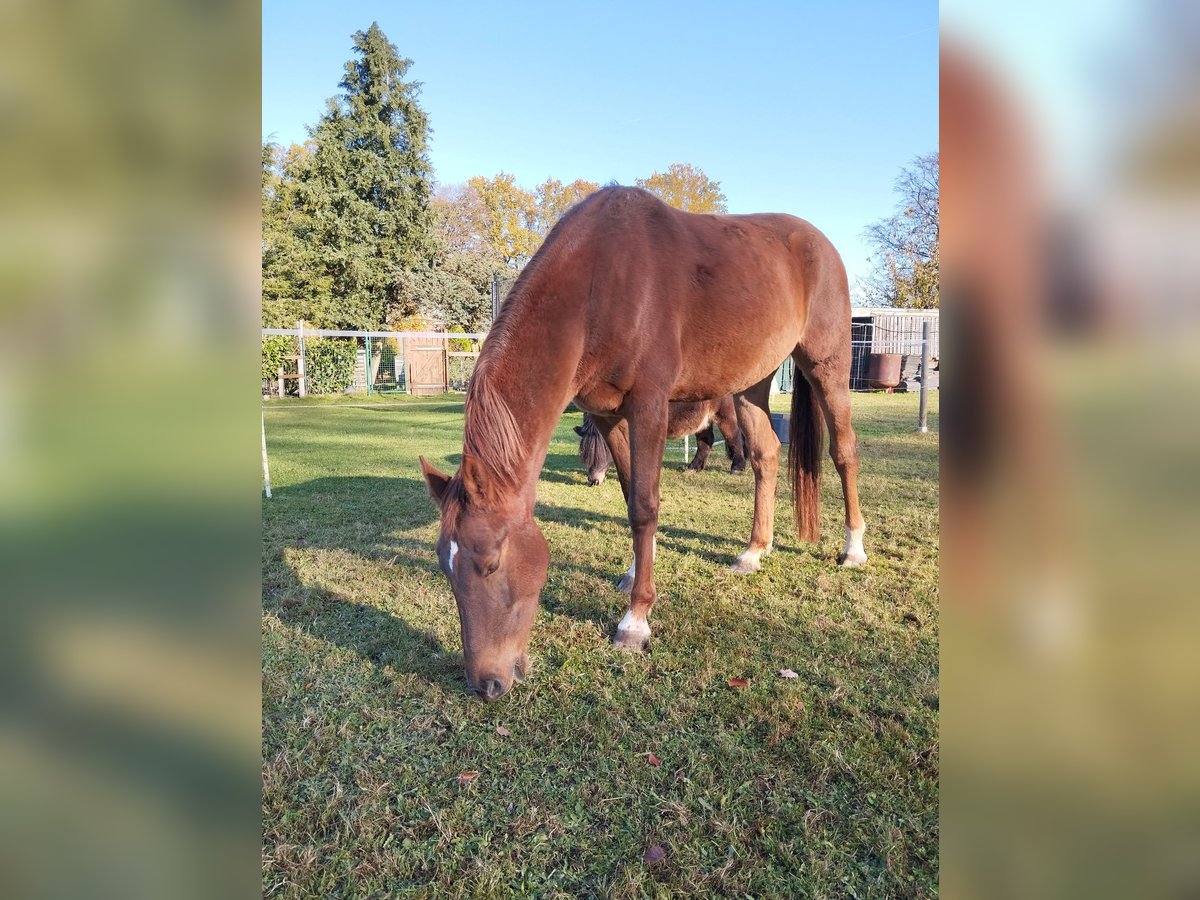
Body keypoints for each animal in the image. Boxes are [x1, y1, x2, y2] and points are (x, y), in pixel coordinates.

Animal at [573, 400, 748, 489]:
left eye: (604, 450)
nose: (593, 481)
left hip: (725, 416)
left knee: (735, 438)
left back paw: (737, 467)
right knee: (706, 442)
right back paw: (694, 467)